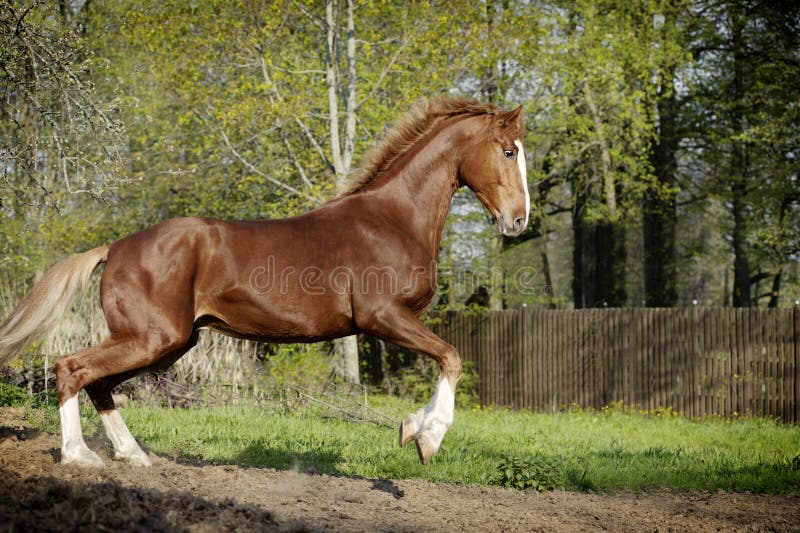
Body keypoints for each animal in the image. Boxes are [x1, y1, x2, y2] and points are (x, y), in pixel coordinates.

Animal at [0, 97, 529, 466]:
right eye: (508, 151)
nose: (519, 221)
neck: (392, 220)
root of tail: (115, 248)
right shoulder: (383, 317)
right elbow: (451, 357)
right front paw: (426, 438)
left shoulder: (394, 321)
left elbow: (446, 358)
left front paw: (411, 429)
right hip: (152, 338)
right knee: (71, 367)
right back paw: (80, 456)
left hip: (165, 344)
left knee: (99, 384)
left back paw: (134, 456)